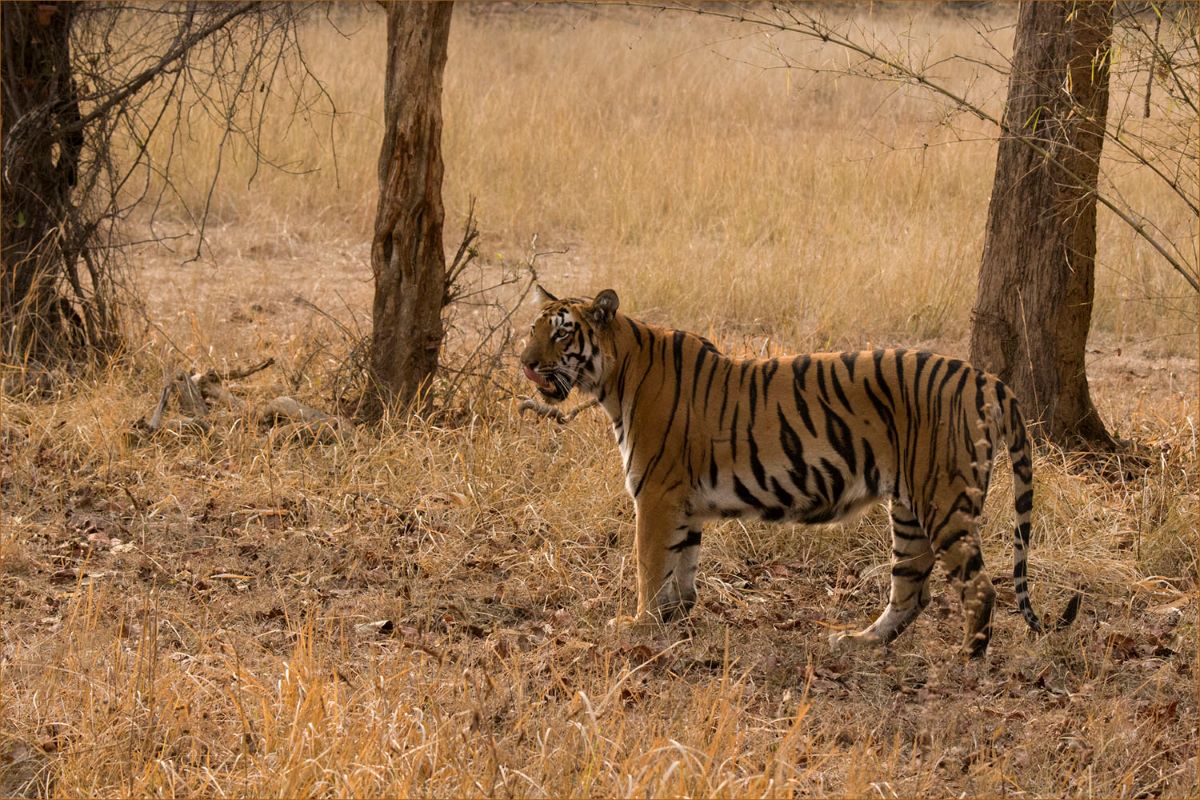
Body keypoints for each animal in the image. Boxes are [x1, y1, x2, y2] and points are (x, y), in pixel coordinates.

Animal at [520, 287, 1084, 657]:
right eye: (532, 330)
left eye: (562, 333)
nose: (525, 363)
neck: (616, 377)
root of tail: (987, 378)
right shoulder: (683, 504)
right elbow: (681, 569)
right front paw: (672, 621)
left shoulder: (656, 495)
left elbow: (649, 566)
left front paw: (637, 626)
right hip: (908, 507)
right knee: (913, 588)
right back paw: (858, 642)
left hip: (943, 499)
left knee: (980, 588)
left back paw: (965, 664)